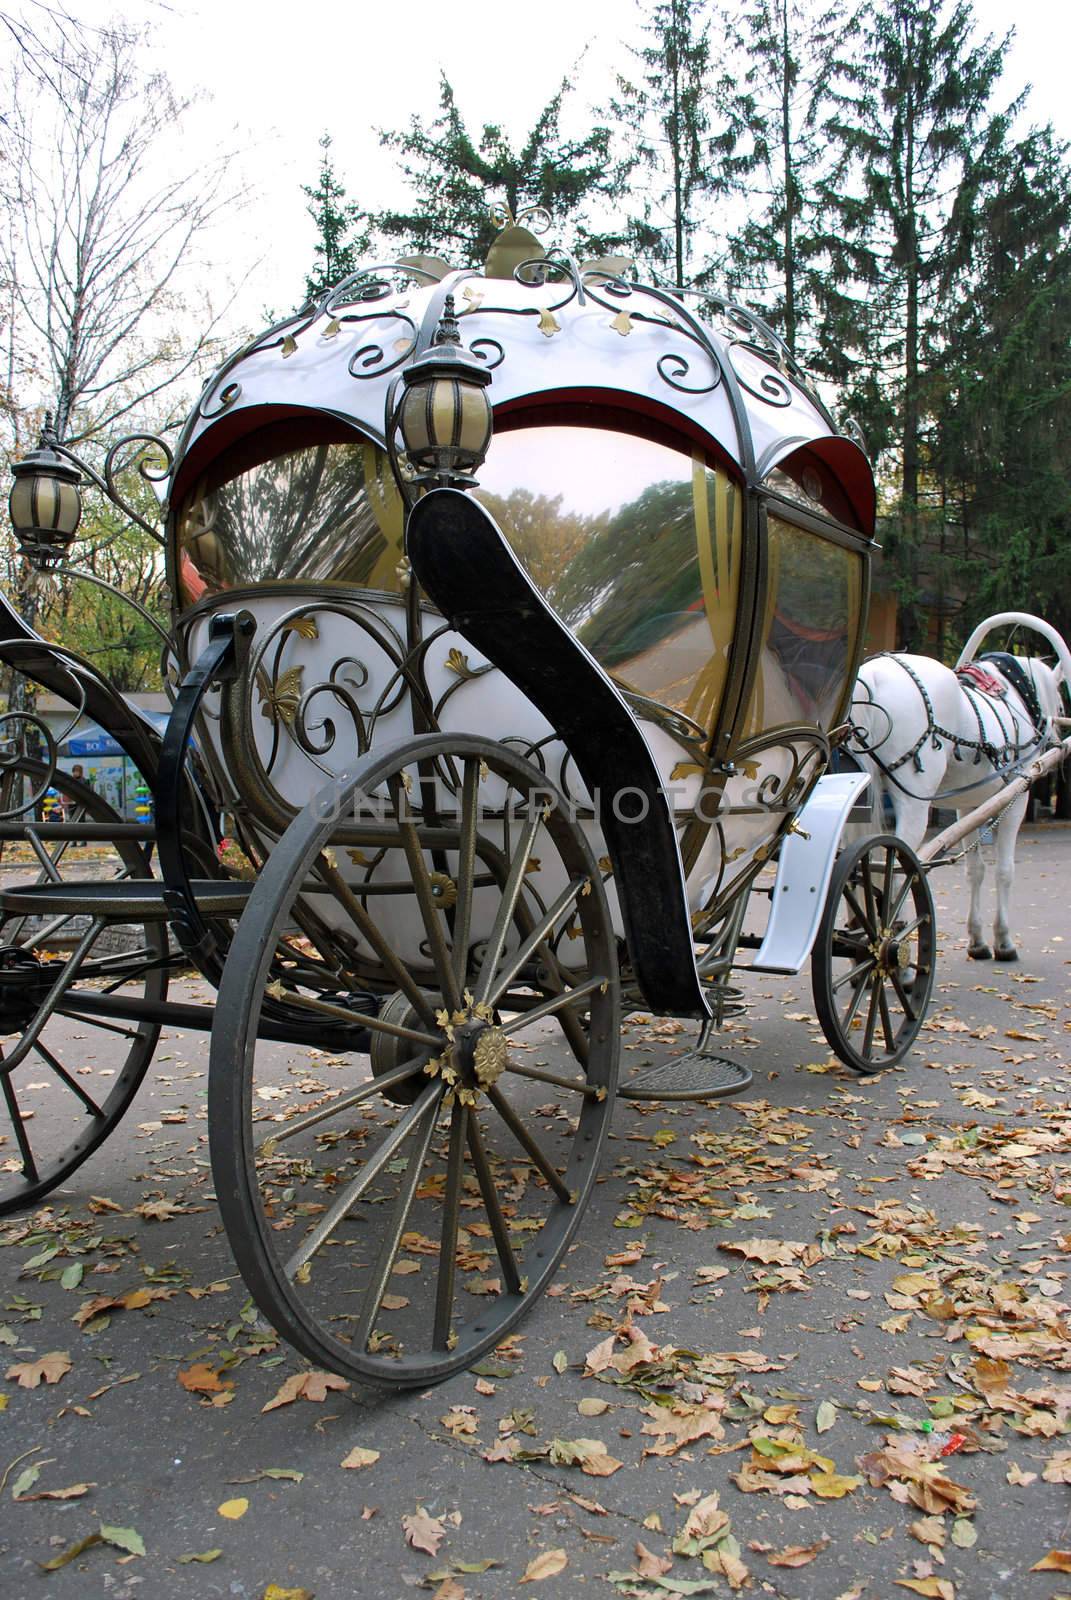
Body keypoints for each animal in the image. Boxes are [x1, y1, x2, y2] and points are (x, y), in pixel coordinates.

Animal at [845, 630, 1062, 960]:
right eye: (1061, 703)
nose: (1056, 739)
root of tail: (871, 679)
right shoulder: (1016, 797)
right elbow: (1004, 870)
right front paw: (1004, 941)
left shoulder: (968, 805)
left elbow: (976, 870)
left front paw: (978, 940)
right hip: (913, 802)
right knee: (900, 869)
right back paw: (895, 944)